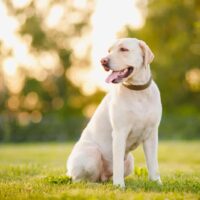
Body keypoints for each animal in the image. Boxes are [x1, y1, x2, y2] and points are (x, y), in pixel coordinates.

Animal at [66, 37, 162, 188]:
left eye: (124, 49)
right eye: (109, 50)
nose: (103, 61)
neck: (138, 92)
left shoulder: (151, 134)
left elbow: (153, 164)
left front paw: (157, 183)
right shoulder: (119, 132)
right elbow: (118, 165)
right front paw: (119, 186)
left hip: (130, 161)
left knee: (103, 178)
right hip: (91, 153)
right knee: (80, 180)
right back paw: (94, 185)